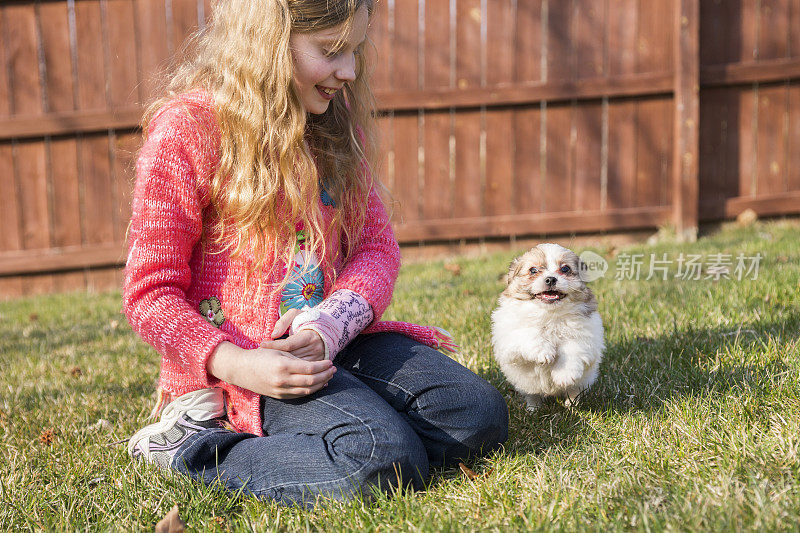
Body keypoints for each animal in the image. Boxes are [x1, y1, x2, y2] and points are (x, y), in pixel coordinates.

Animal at [490, 243, 604, 410]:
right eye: (533, 270)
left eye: (565, 269)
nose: (550, 279)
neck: (549, 314)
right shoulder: (508, 337)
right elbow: (528, 332)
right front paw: (543, 351)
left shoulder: (587, 332)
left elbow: (573, 346)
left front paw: (564, 374)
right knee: (532, 395)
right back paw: (533, 408)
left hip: (583, 381)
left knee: (574, 391)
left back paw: (571, 405)